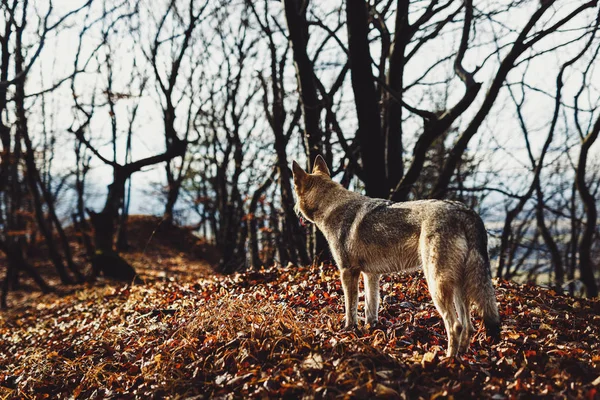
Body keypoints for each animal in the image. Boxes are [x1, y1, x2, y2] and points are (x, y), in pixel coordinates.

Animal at [292, 155, 500, 354]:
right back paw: (462, 356)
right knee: (468, 326)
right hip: (458, 287)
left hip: (436, 286)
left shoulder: (348, 272)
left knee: (455, 325)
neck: (331, 206)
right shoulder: (371, 275)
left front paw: (348, 331)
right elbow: (370, 308)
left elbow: (351, 309)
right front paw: (370, 330)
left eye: (294, 193)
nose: (294, 210)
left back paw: (447, 360)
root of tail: (465, 211)